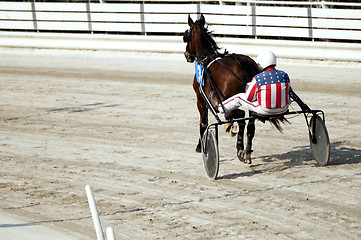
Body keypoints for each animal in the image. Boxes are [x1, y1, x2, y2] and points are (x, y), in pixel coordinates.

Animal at [183, 14, 258, 163]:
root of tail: (243, 64)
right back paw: (246, 152)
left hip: (227, 100)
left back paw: (239, 147)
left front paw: (201, 146)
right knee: (250, 124)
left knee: (241, 117)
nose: (187, 55)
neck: (206, 59)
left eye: (186, 36)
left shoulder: (201, 100)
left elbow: (203, 123)